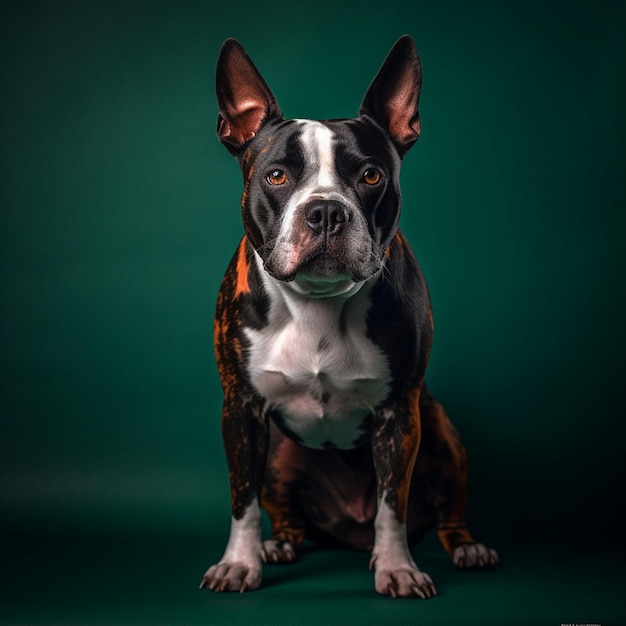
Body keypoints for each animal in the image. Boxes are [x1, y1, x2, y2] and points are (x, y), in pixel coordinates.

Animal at [200, 33, 498, 596]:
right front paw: (239, 562)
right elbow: (241, 499)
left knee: (445, 509)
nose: (325, 210)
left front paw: (397, 567)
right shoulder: (240, 411)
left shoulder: (400, 416)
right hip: (279, 454)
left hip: (441, 434)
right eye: (276, 176)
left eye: (370, 175)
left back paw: (466, 546)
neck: (317, 303)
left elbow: (391, 503)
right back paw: (279, 543)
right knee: (283, 510)